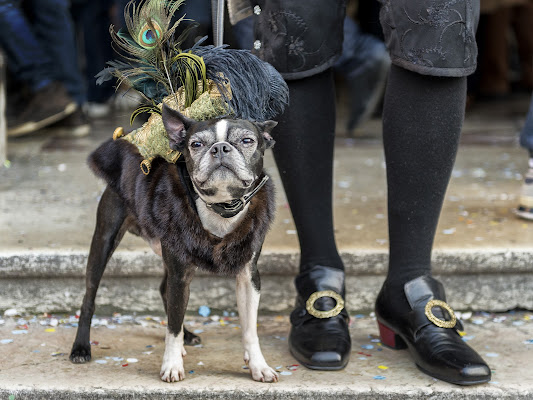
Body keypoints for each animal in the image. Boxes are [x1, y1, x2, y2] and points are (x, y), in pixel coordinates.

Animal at [68, 104, 278, 382]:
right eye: (196, 144)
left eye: (247, 141)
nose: (220, 148)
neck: (220, 208)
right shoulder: (180, 272)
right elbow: (173, 325)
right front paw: (171, 364)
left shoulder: (248, 276)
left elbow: (249, 328)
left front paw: (258, 365)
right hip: (104, 240)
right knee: (89, 296)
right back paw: (81, 348)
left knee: (164, 292)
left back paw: (187, 337)